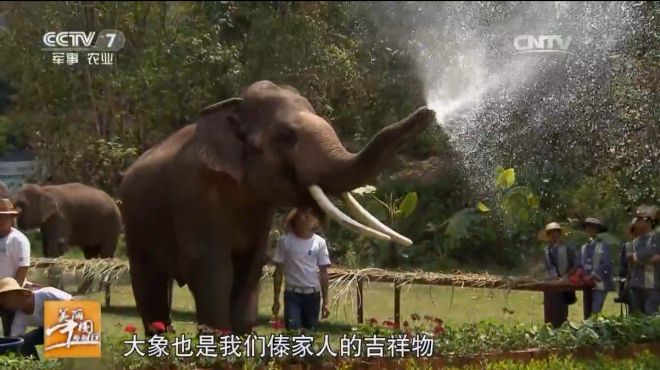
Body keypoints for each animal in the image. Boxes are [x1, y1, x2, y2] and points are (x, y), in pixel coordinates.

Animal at [121, 80, 436, 336]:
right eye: (286, 135)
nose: (428, 113)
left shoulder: (260, 209)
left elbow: (251, 264)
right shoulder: (195, 194)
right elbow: (213, 268)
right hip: (134, 222)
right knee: (149, 284)